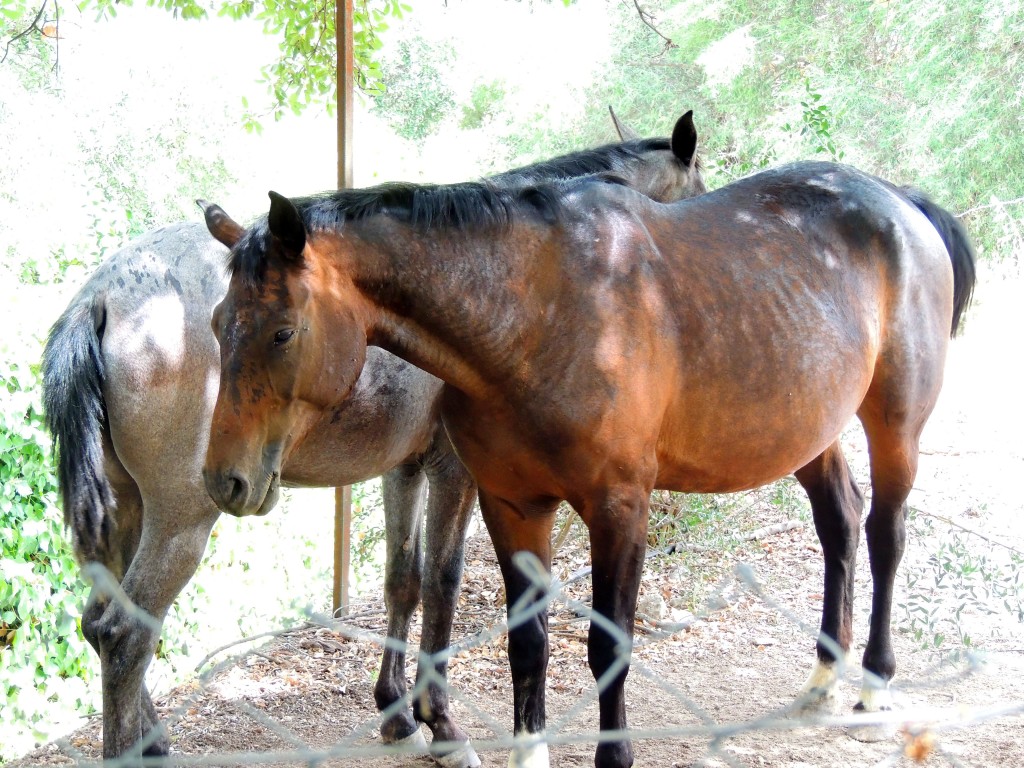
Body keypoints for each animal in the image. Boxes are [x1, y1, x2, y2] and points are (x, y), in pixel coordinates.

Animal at [39, 108, 708, 768]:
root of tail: (102, 295)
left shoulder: (404, 467)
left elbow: (403, 580)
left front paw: (397, 712)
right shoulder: (456, 472)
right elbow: (442, 581)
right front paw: (441, 724)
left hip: (127, 512)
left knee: (100, 623)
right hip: (182, 518)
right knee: (125, 635)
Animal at [201, 162, 974, 768]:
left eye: (282, 332)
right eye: (215, 325)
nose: (222, 480)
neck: (539, 317)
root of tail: (900, 200)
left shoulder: (617, 507)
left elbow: (607, 645)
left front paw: (614, 754)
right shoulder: (511, 506)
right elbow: (529, 644)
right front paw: (526, 751)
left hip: (895, 425)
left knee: (885, 534)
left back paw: (873, 682)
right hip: (809, 433)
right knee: (840, 523)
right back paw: (821, 681)